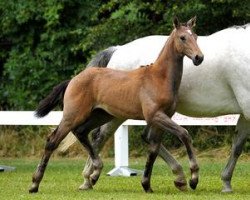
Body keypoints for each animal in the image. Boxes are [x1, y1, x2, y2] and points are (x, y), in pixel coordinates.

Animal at [29, 17, 204, 194]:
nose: (199, 58)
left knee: (82, 132)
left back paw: (95, 173)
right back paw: (35, 184)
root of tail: (73, 80)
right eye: (183, 37)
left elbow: (154, 149)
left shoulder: (161, 118)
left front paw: (147, 184)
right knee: (53, 141)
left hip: (101, 115)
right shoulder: (155, 116)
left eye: (195, 36)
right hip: (73, 116)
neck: (159, 78)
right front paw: (193, 179)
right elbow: (184, 134)